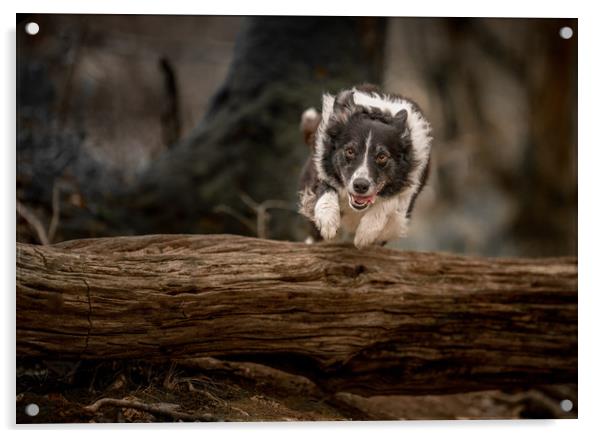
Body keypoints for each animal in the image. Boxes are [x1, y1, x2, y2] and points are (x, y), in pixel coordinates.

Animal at [298, 84, 432, 248]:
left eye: (382, 156)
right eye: (350, 151)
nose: (360, 186)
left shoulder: (409, 186)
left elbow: (391, 202)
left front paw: (366, 232)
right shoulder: (319, 166)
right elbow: (324, 187)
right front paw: (328, 220)